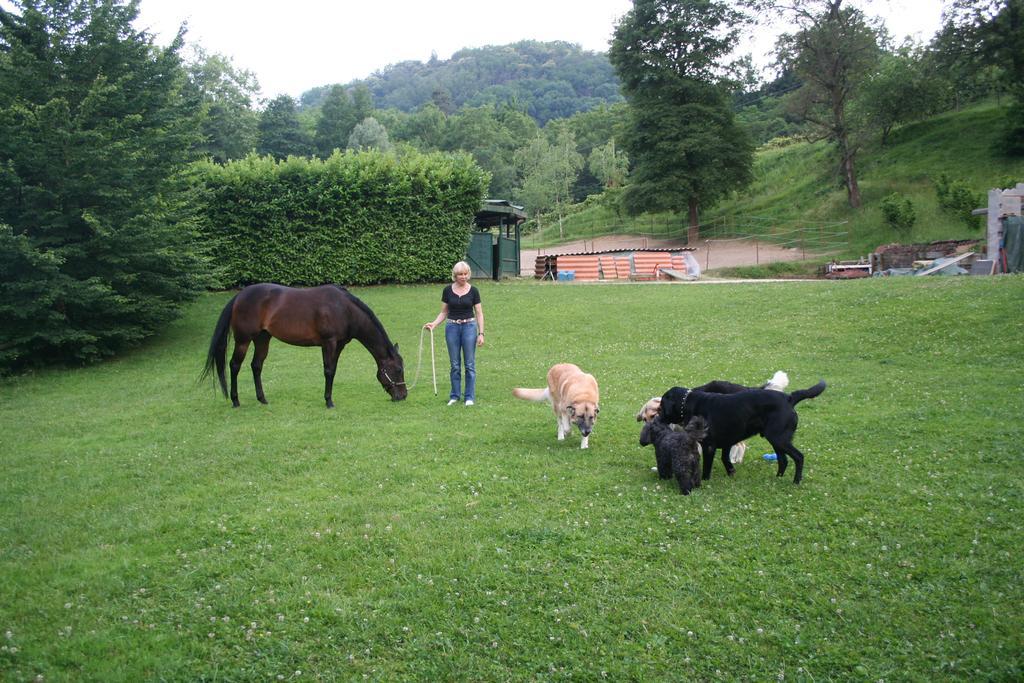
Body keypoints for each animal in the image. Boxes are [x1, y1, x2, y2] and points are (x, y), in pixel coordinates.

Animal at [199, 282, 407, 405]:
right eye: (397, 370)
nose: (403, 395)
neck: (344, 309)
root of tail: (239, 296)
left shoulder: (339, 345)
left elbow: (333, 370)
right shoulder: (329, 343)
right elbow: (328, 371)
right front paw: (328, 402)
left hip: (263, 338)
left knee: (256, 366)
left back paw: (262, 399)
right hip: (243, 340)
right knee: (234, 365)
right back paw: (235, 401)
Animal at [659, 378, 827, 485]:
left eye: (661, 407)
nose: (658, 418)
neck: (688, 402)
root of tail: (789, 398)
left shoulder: (709, 446)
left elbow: (707, 467)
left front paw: (706, 480)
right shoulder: (727, 441)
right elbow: (725, 459)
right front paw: (731, 472)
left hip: (779, 439)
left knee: (799, 457)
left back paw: (796, 481)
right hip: (776, 439)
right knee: (783, 460)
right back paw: (778, 478)